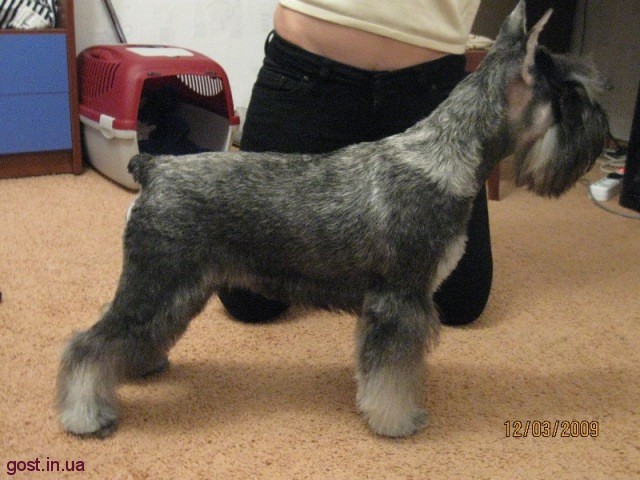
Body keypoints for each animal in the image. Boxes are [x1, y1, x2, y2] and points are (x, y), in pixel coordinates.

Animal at [57, 1, 609, 438]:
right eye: (572, 96)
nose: (603, 133)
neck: (449, 155)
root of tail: (154, 168)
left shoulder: (394, 305)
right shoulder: (400, 302)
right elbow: (392, 376)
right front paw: (398, 422)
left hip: (179, 289)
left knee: (129, 334)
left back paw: (140, 365)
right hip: (156, 280)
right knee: (89, 344)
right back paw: (85, 414)